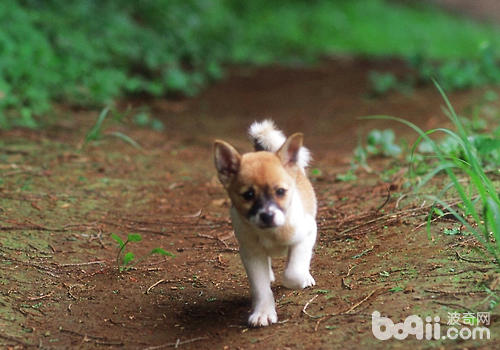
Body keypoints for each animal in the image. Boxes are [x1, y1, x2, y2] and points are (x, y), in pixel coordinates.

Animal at [214, 119, 316, 326]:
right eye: (248, 195)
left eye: (280, 191)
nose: (267, 216)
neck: (271, 233)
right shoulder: (251, 253)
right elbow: (260, 287)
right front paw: (263, 312)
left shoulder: (308, 233)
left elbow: (293, 272)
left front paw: (300, 278)